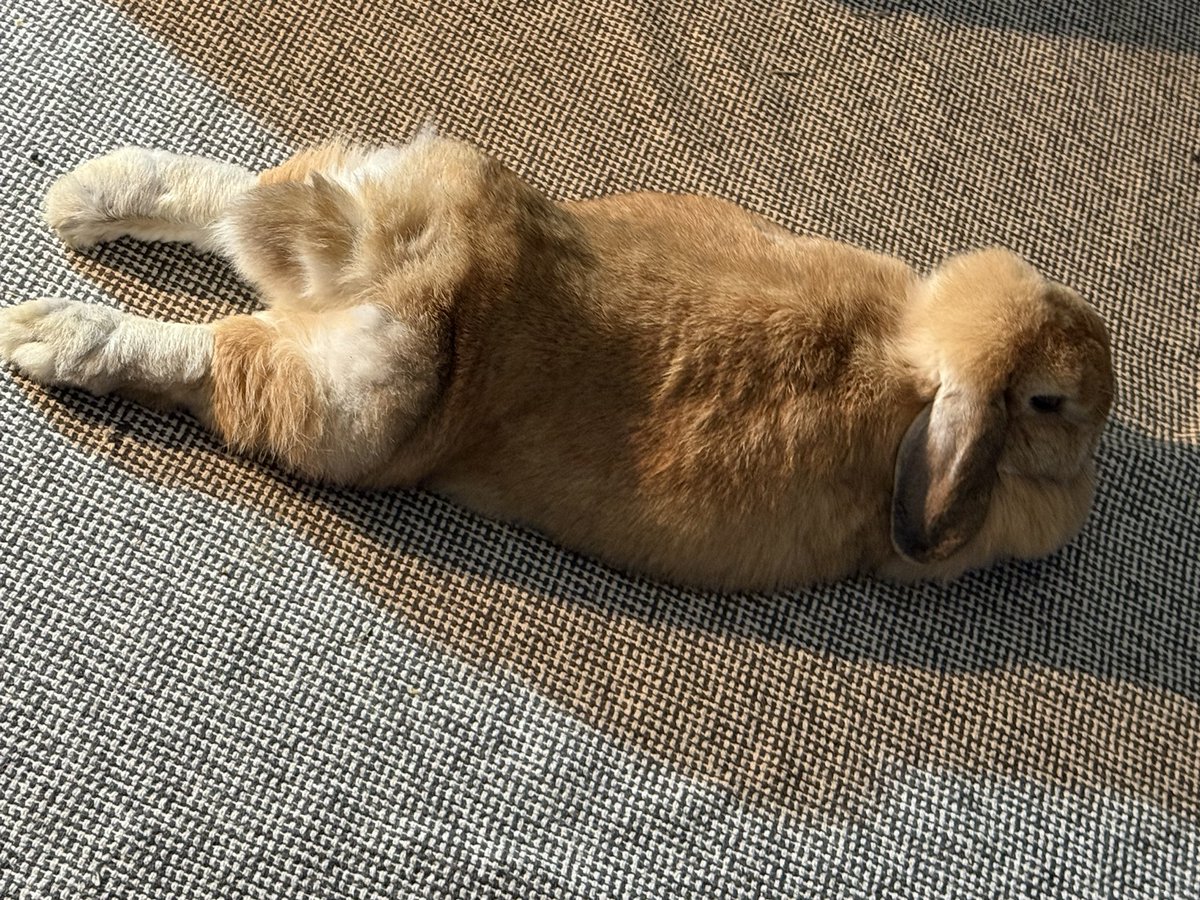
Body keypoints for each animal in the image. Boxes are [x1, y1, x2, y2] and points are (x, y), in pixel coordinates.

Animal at [0, 133, 1114, 592]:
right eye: (1053, 403)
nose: (1107, 409)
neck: (912, 355)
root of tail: (454, 277)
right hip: (345, 409)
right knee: (209, 353)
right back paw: (51, 327)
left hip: (366, 220)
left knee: (239, 211)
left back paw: (85, 201)